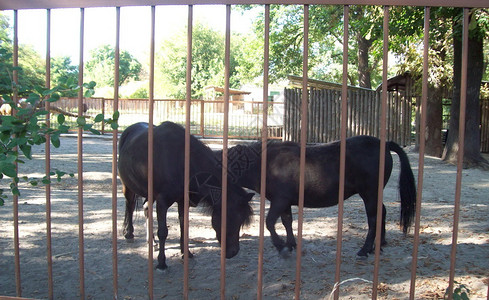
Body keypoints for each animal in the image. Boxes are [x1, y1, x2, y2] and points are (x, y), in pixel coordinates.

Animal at [118, 120, 254, 270]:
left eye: (241, 221)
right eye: (228, 218)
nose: (233, 252)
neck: (181, 162)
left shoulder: (183, 201)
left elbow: (184, 226)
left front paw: (186, 252)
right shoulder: (162, 201)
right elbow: (163, 231)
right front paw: (161, 262)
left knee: (146, 208)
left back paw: (151, 240)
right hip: (127, 186)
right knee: (130, 206)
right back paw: (129, 233)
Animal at [221, 137, 416, 258]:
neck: (267, 163)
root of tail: (385, 143)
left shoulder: (279, 200)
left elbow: (269, 222)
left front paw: (281, 246)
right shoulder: (284, 202)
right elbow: (287, 221)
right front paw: (290, 244)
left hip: (369, 194)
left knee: (374, 218)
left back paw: (365, 249)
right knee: (382, 212)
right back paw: (380, 243)